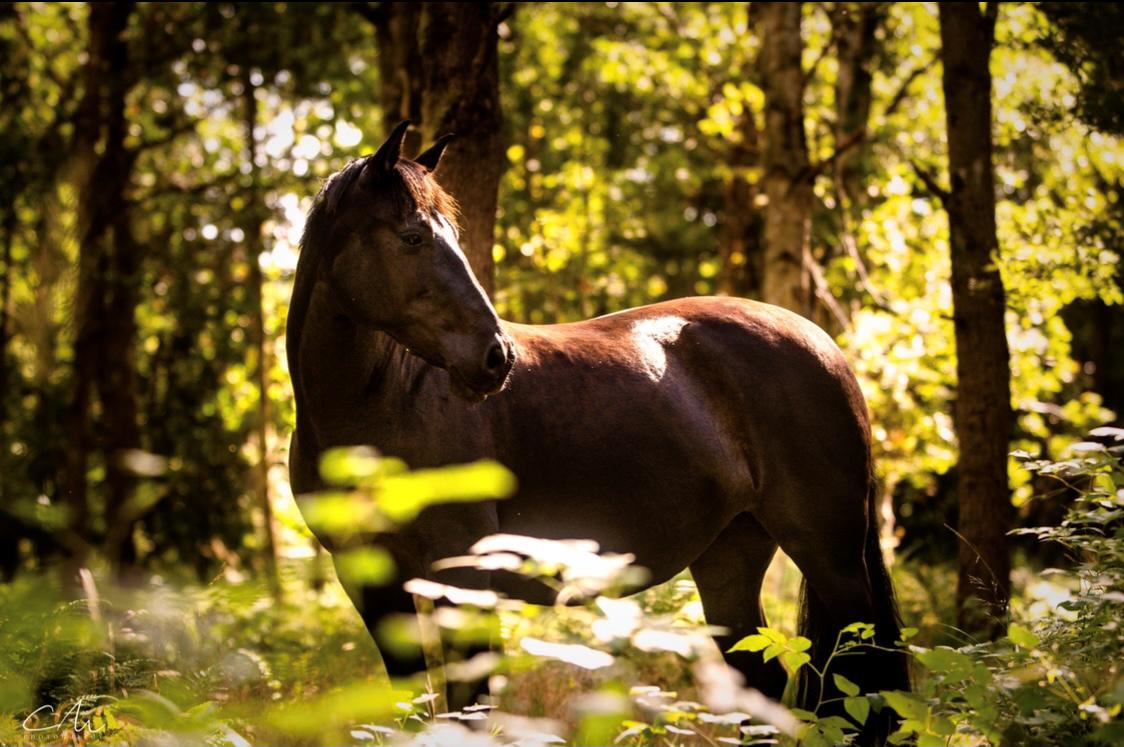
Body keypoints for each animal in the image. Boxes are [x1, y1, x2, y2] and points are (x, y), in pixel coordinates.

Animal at [285, 122, 908, 732]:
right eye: (413, 237)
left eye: (452, 237)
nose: (496, 358)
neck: (382, 408)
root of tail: (825, 345)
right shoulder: (372, 585)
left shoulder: (461, 581)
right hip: (730, 560)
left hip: (831, 556)